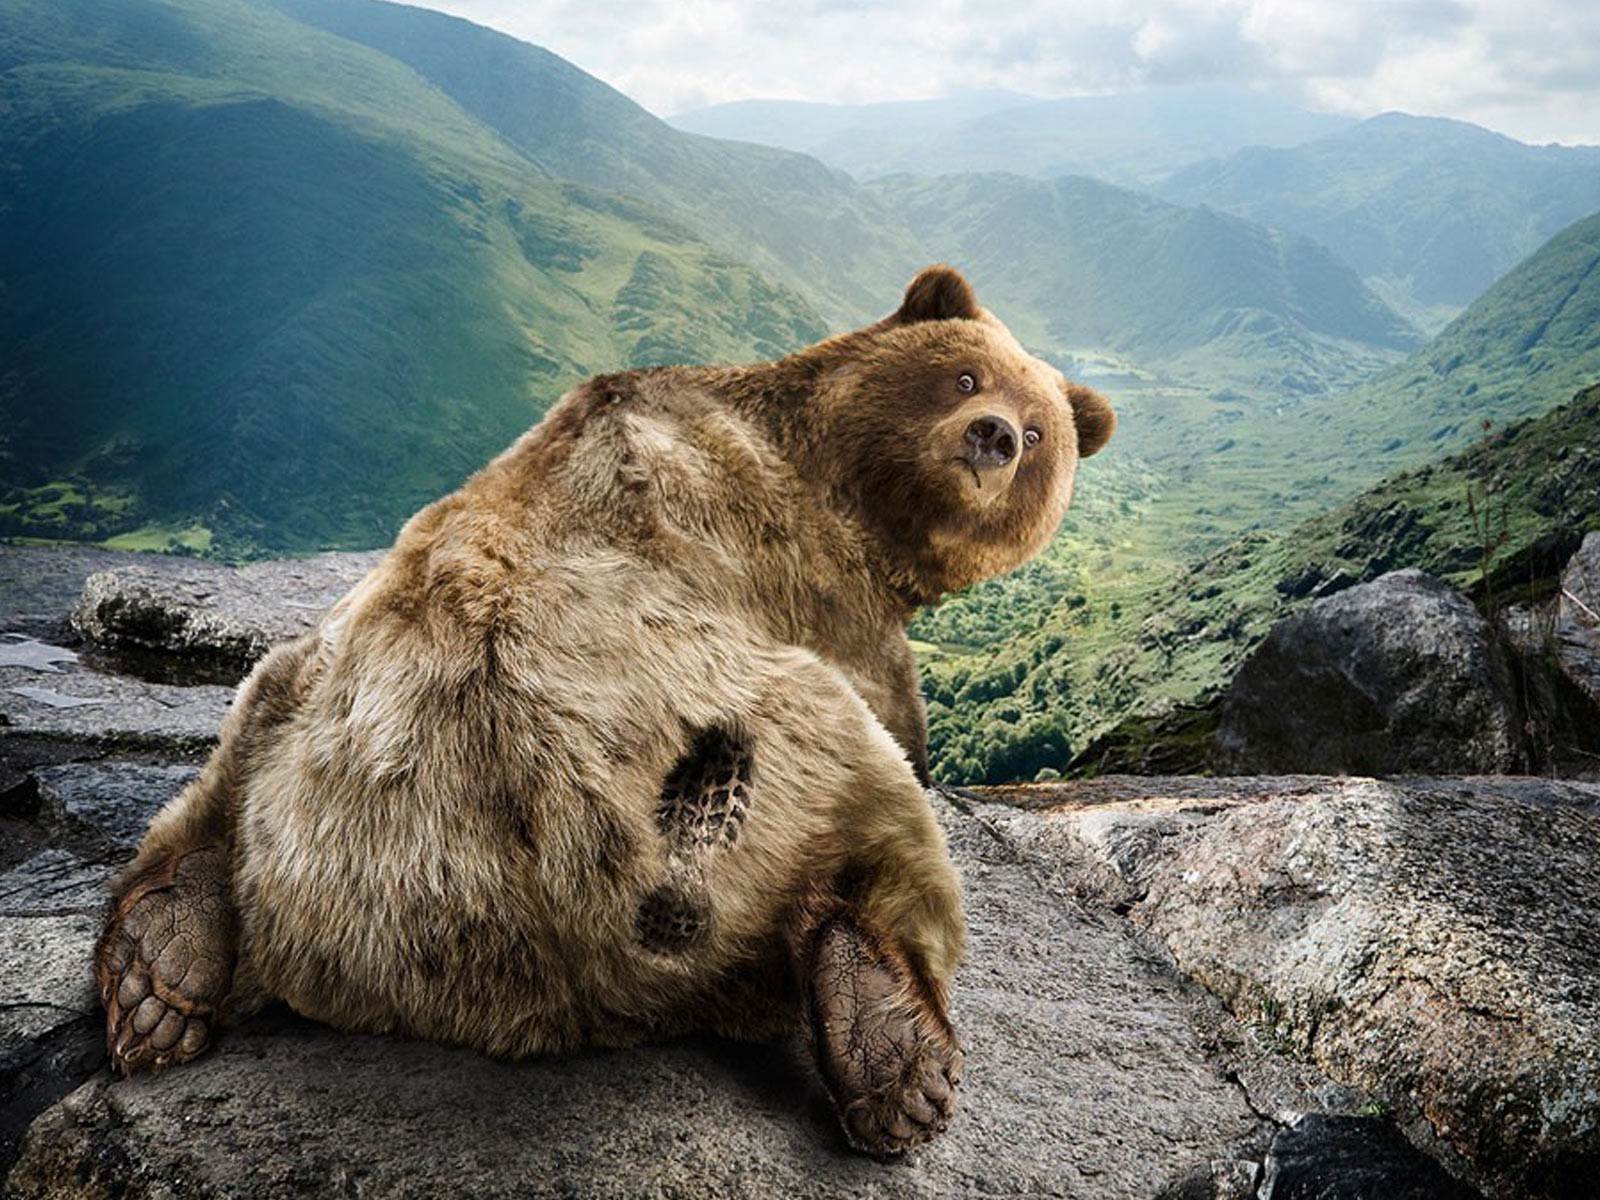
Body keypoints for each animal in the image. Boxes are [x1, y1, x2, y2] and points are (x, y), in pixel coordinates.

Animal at [87, 265, 1113, 1158]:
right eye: (967, 376)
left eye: (1039, 434)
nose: (993, 437)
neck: (840, 482)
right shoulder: (812, 583)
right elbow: (900, 721)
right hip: (732, 749)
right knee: (873, 812)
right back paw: (895, 1051)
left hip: (319, 716)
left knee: (230, 758)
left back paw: (161, 970)